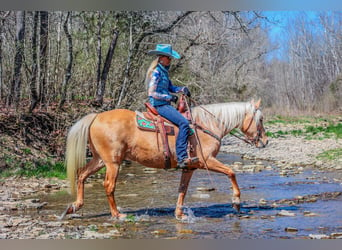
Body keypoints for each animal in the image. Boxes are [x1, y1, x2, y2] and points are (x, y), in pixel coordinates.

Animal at [62, 98, 268, 220]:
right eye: (261, 119)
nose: (265, 141)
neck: (207, 126)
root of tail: (96, 116)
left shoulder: (190, 167)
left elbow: (182, 189)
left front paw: (179, 214)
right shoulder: (207, 161)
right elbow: (231, 173)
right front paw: (236, 202)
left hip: (99, 160)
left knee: (81, 174)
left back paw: (74, 207)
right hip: (113, 163)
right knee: (108, 186)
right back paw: (117, 214)